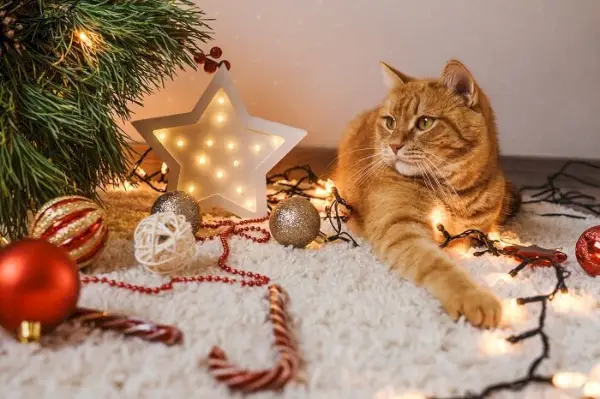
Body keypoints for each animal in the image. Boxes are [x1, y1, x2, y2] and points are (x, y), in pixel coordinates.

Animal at [336, 59, 516, 328]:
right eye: (390, 122)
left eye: (424, 123)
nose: (394, 145)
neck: (456, 193)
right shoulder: (401, 229)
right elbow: (440, 266)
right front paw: (473, 297)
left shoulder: (478, 230)